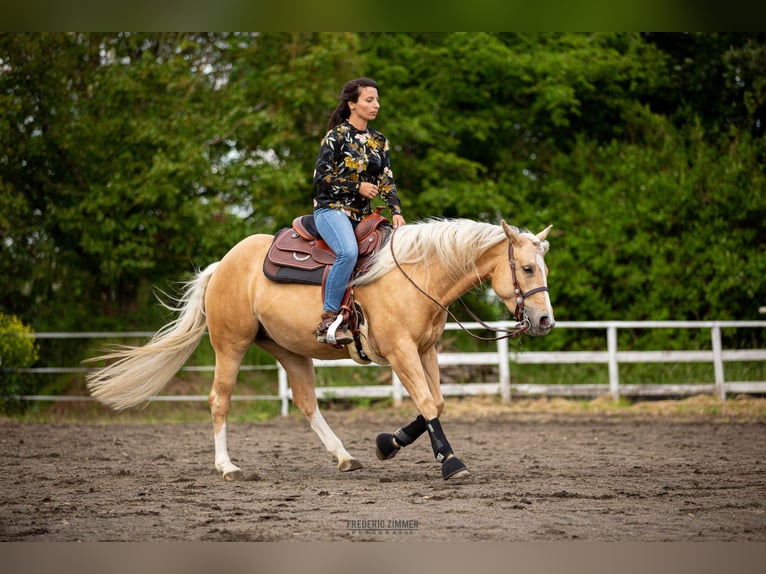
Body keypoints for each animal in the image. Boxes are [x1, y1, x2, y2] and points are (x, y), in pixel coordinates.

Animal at [87, 219, 556, 482]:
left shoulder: (425, 349)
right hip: (230, 345)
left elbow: (435, 403)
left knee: (307, 402)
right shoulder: (401, 351)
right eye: (526, 268)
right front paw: (450, 463)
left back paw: (344, 457)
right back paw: (227, 467)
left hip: (291, 351)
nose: (545, 321)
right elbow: (426, 402)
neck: (418, 272)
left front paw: (388, 443)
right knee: (219, 399)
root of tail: (222, 265)